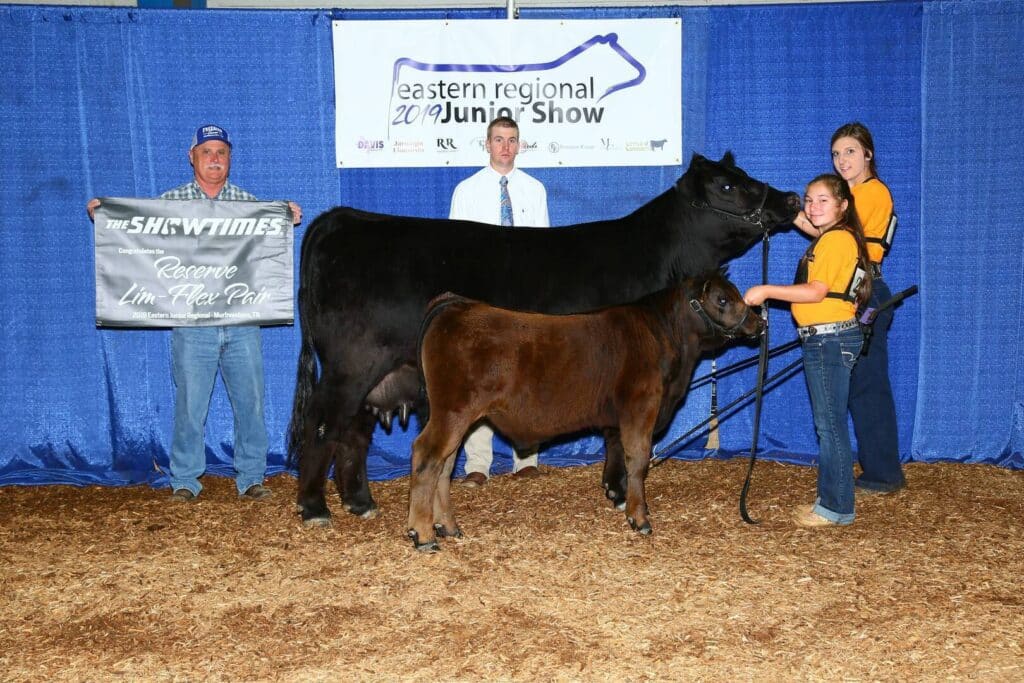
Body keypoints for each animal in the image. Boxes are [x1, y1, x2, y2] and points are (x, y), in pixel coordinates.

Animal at [407, 271, 762, 551]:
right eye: (721, 300)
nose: (759, 321)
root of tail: (457, 304)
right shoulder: (641, 406)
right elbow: (638, 459)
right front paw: (640, 518)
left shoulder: (617, 420)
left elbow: (617, 457)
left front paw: (621, 498)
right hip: (453, 410)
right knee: (427, 456)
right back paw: (423, 535)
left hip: (455, 415)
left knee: (444, 464)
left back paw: (448, 527)